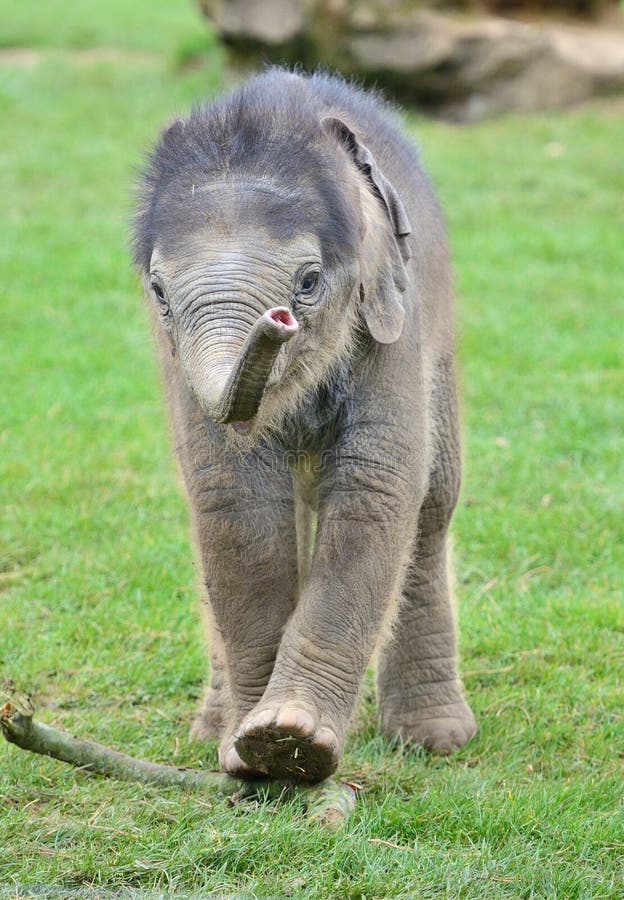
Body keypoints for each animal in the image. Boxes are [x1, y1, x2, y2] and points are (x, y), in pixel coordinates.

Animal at [130, 70, 472, 780]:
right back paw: (212, 725)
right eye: (159, 293)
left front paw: (291, 737)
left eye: (309, 282)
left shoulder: (394, 320)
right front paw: (252, 747)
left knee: (432, 504)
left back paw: (434, 738)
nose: (277, 321)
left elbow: (376, 485)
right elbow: (232, 500)